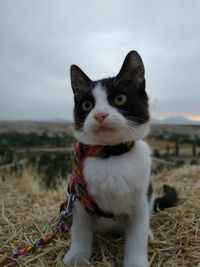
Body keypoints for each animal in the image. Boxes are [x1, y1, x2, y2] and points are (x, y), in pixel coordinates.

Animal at [63, 51, 177, 266]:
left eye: (120, 99)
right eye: (87, 105)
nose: (100, 115)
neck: (110, 155)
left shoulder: (140, 202)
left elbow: (137, 235)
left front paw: (136, 261)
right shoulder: (79, 199)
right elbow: (79, 230)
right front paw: (77, 255)